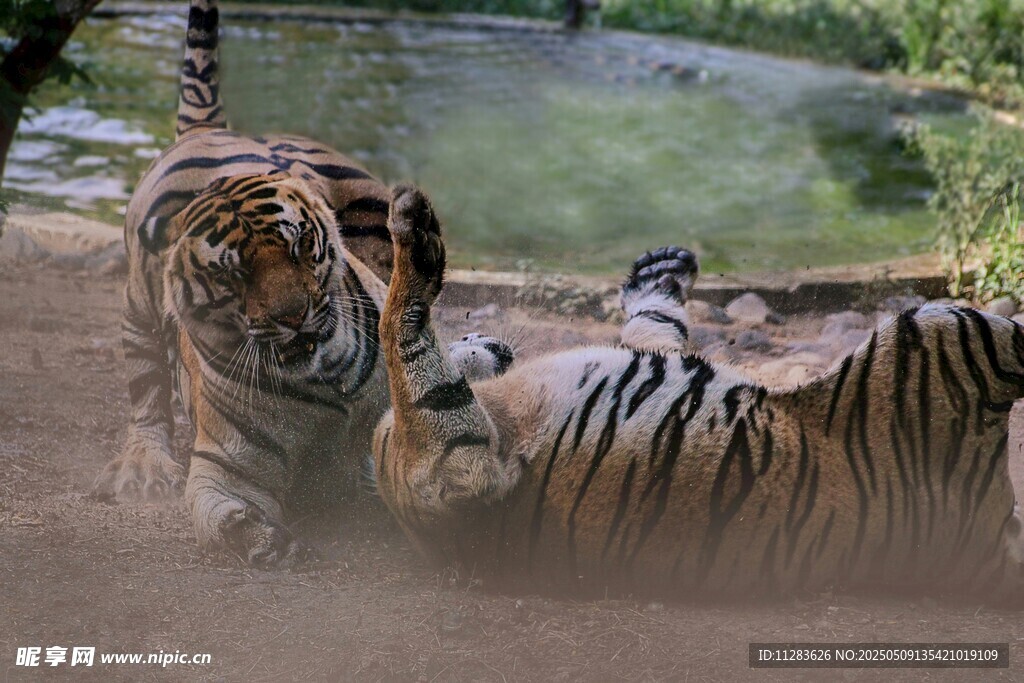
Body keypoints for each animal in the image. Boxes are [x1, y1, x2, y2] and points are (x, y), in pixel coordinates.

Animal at [93, 0, 397, 565]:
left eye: (300, 246)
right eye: (232, 272)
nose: (293, 315)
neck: (324, 383)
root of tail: (206, 129)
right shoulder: (225, 467)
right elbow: (220, 518)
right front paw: (263, 539)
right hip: (139, 306)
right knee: (146, 388)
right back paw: (145, 469)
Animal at [372, 184, 1024, 602]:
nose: (479, 336)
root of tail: (984, 548)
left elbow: (653, 323)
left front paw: (661, 268)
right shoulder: (452, 472)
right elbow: (396, 329)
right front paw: (412, 232)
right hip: (940, 331)